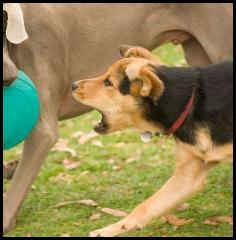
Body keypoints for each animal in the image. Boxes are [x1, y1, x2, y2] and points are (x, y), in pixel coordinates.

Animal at [71, 46, 232, 236]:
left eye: (108, 82)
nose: (73, 85)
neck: (187, 102)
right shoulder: (188, 175)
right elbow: (147, 206)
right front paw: (110, 230)